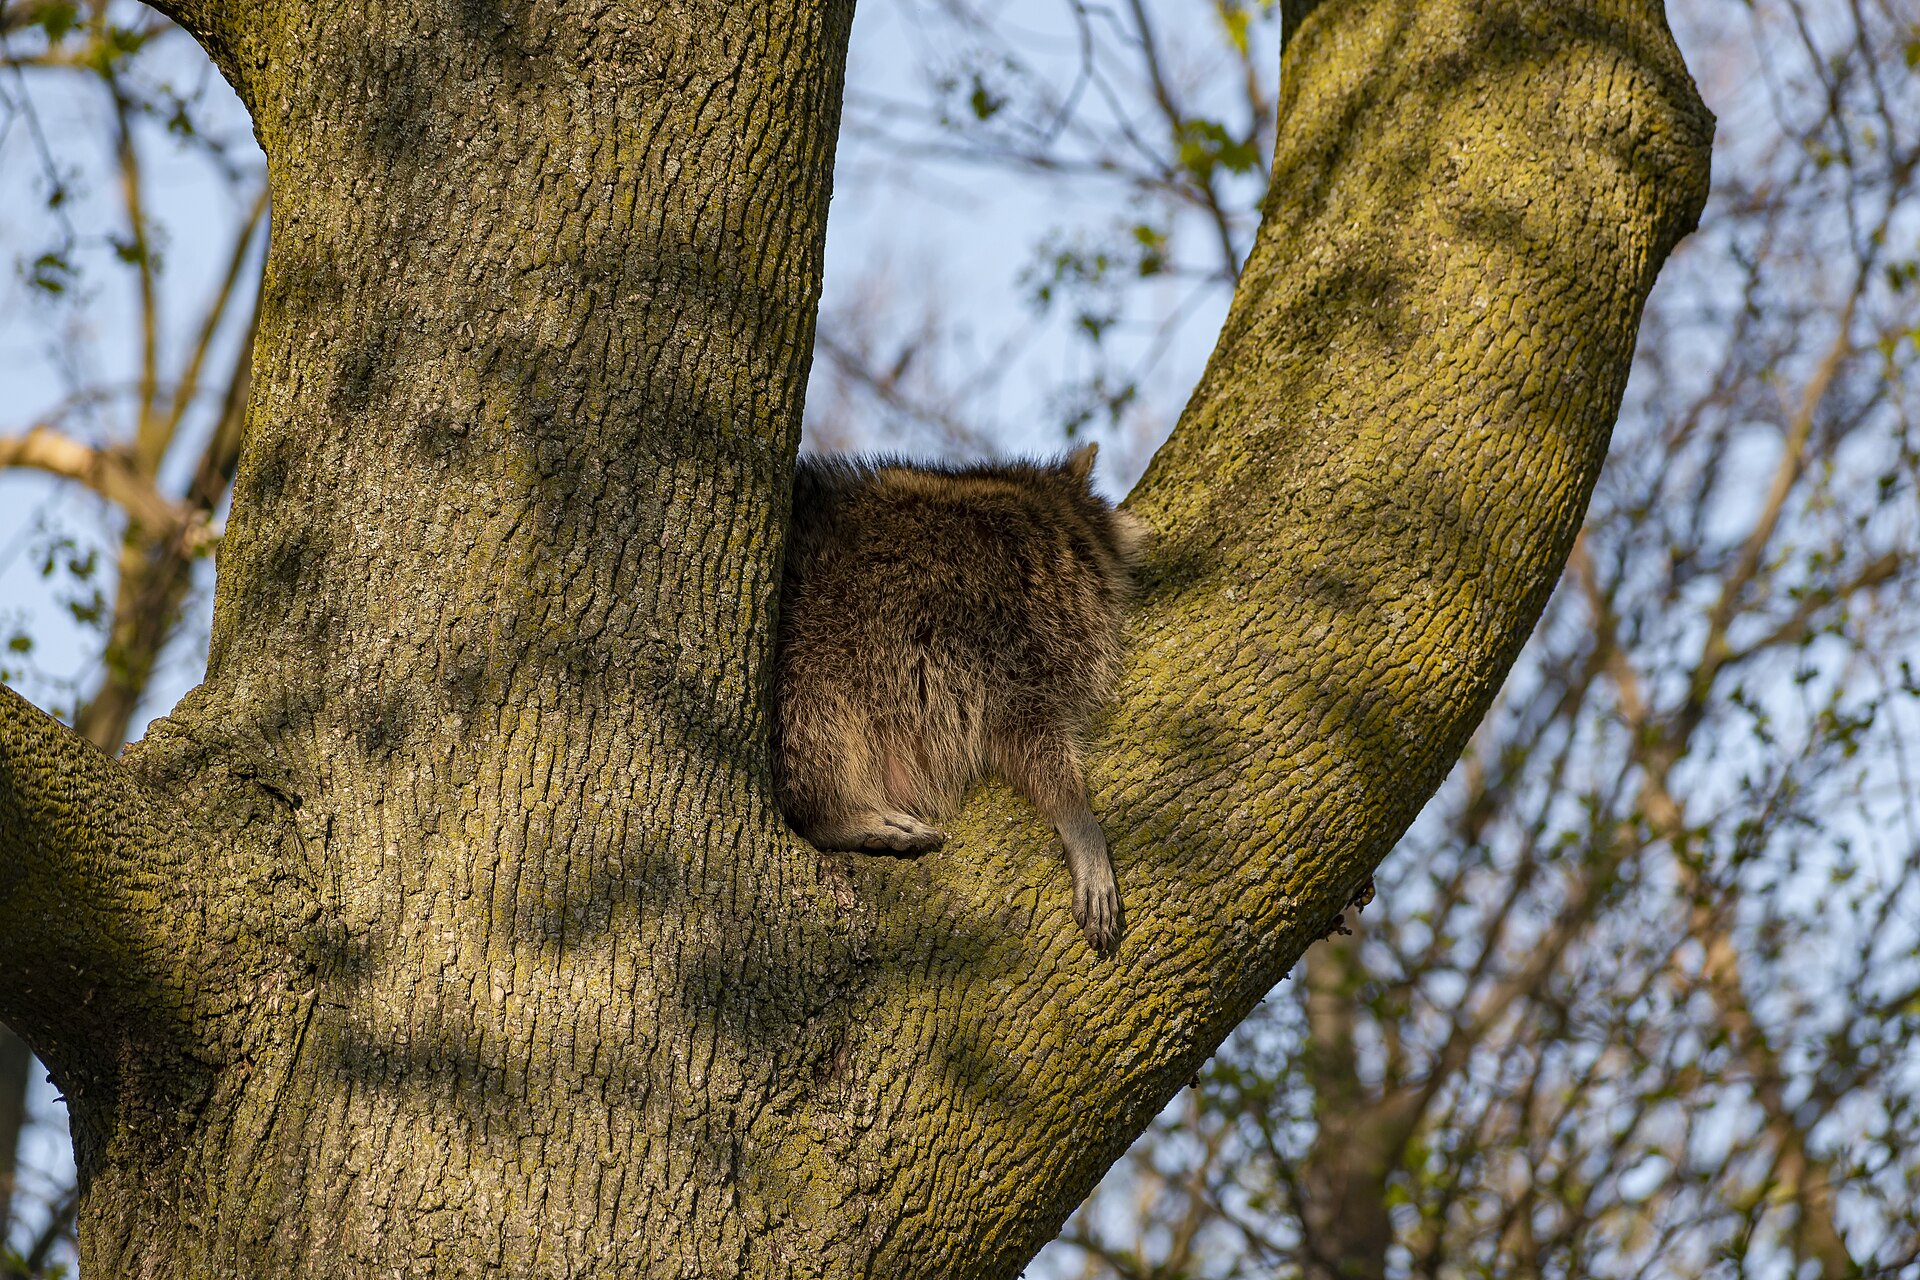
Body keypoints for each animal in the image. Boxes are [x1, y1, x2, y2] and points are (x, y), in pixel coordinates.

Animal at [772, 443, 1146, 951]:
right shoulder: (1005, 638)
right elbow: (1029, 737)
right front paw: (1077, 817)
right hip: (810, 657)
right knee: (815, 722)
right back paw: (830, 815)